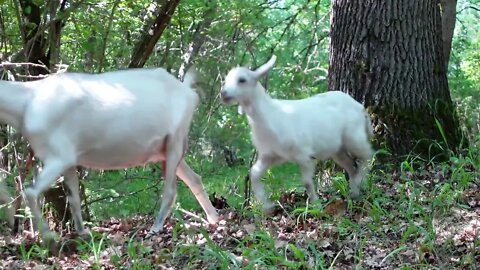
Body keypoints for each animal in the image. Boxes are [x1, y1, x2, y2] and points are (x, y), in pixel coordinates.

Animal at [0, 67, 219, 243]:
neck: (26, 103)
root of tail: (188, 92)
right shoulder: (69, 159)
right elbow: (74, 198)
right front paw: (83, 233)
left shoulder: (58, 157)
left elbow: (29, 192)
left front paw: (49, 236)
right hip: (164, 149)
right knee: (194, 179)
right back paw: (215, 219)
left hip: (176, 139)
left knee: (171, 190)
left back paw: (155, 228)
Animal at [219, 54, 374, 211]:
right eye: (226, 80)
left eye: (242, 80)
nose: (223, 93)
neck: (269, 114)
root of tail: (360, 107)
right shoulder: (270, 155)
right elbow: (254, 173)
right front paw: (267, 206)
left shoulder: (304, 154)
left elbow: (306, 182)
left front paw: (316, 206)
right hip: (338, 149)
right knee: (352, 166)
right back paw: (354, 192)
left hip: (354, 137)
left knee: (368, 155)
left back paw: (360, 182)